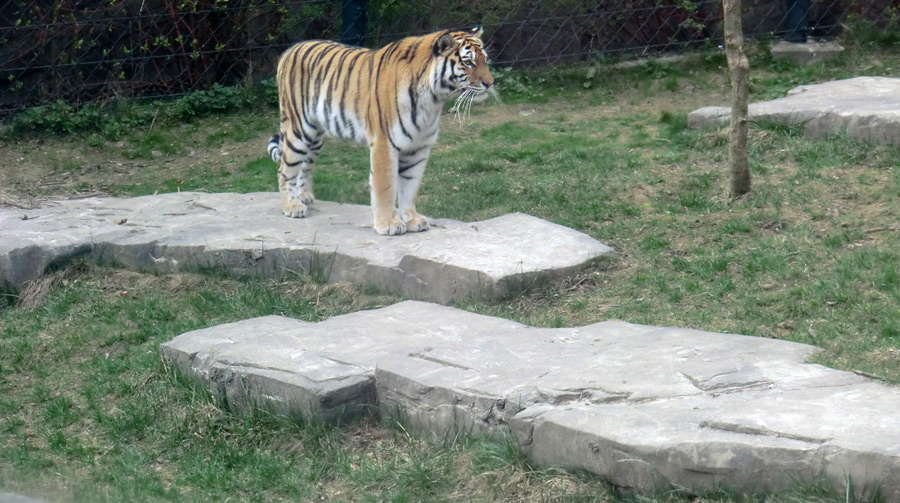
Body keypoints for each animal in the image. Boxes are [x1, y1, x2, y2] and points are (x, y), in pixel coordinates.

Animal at [268, 28, 496, 237]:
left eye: (485, 60)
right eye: (468, 62)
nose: (489, 83)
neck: (433, 100)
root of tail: (290, 49)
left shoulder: (419, 147)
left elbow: (410, 186)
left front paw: (412, 219)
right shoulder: (385, 143)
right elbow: (385, 186)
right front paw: (388, 224)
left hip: (315, 135)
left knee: (305, 165)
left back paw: (304, 196)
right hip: (298, 128)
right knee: (285, 169)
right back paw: (292, 206)